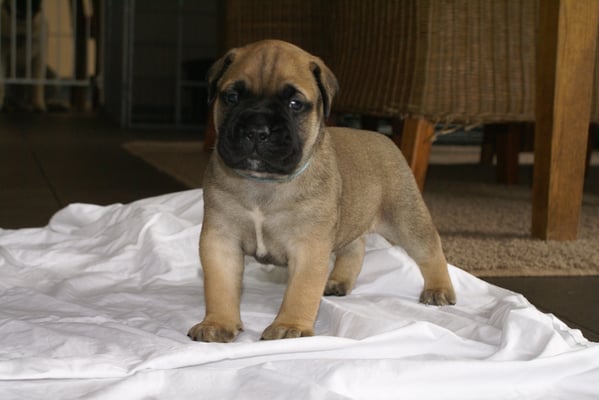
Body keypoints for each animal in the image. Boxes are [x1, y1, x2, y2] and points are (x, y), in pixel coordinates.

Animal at [188, 40, 456, 342]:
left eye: (295, 104)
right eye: (232, 97)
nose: (257, 129)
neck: (263, 183)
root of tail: (384, 138)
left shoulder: (309, 246)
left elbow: (301, 291)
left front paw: (289, 326)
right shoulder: (220, 240)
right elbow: (220, 286)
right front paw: (217, 323)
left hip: (406, 218)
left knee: (430, 250)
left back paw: (439, 290)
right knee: (354, 248)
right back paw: (339, 281)